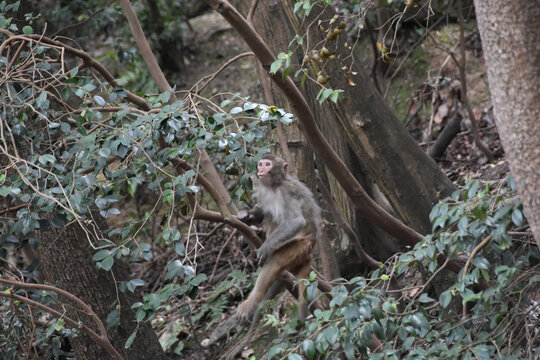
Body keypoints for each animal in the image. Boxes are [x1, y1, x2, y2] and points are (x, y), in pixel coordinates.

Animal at [236, 153, 320, 322]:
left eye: (267, 164)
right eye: (261, 163)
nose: (260, 169)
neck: (275, 186)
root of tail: (311, 246)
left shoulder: (288, 192)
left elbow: (296, 221)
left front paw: (266, 247)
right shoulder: (264, 191)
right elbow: (262, 211)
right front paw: (245, 215)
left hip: (300, 246)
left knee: (275, 260)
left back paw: (251, 301)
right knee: (269, 215)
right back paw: (257, 231)